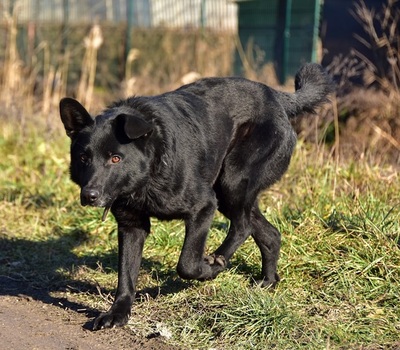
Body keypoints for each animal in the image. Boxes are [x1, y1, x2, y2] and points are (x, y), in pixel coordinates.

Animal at [59, 63, 332, 330]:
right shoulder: (131, 225)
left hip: (230, 183)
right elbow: (126, 274)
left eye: (115, 158)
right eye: (83, 158)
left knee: (243, 226)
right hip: (231, 193)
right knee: (270, 233)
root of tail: (276, 97)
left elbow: (187, 264)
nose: (90, 195)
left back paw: (219, 260)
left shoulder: (203, 206)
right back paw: (267, 281)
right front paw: (117, 313)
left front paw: (207, 270)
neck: (150, 172)